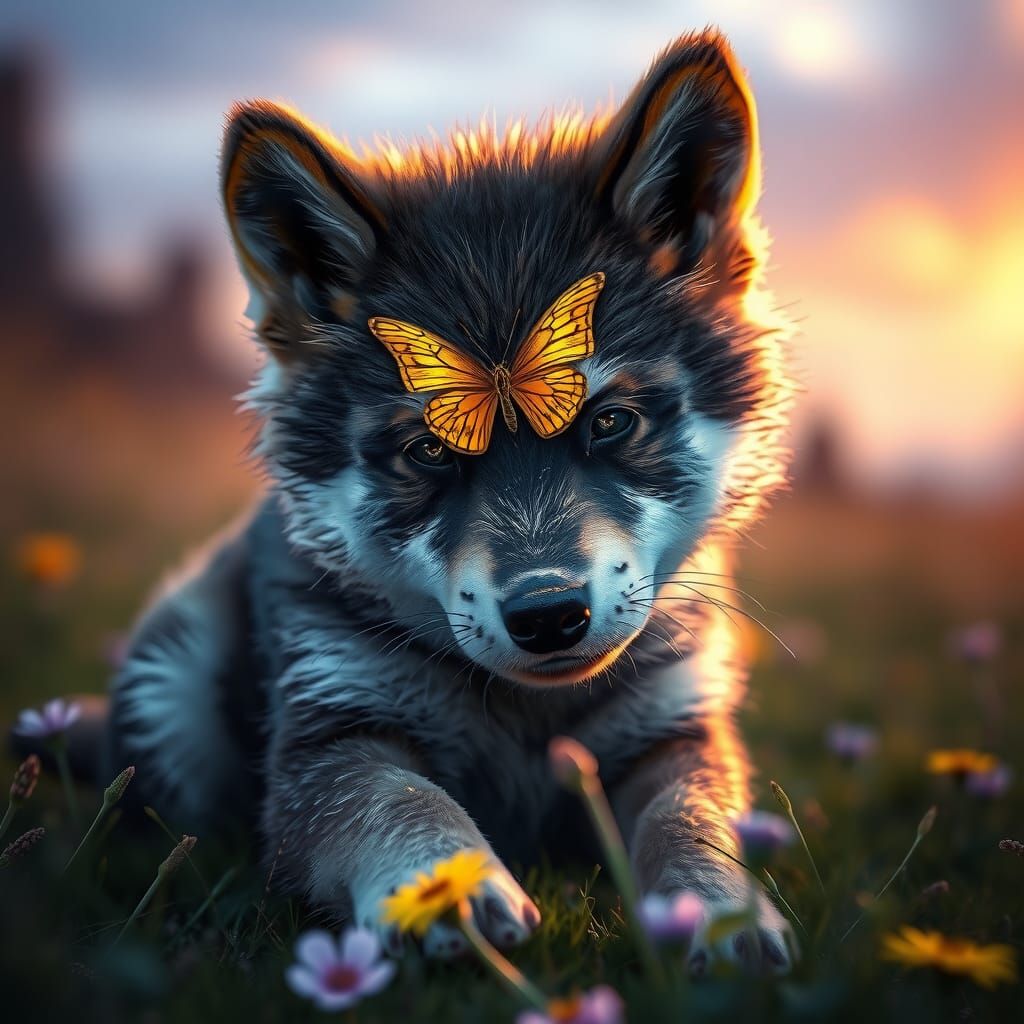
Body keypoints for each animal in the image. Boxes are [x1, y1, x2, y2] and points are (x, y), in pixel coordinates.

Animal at [108, 29, 794, 972]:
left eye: (609, 421)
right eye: (429, 450)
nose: (548, 614)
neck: (528, 715)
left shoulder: (675, 731)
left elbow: (692, 819)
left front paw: (720, 911)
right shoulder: (332, 736)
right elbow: (400, 800)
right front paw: (442, 888)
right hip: (173, 681)